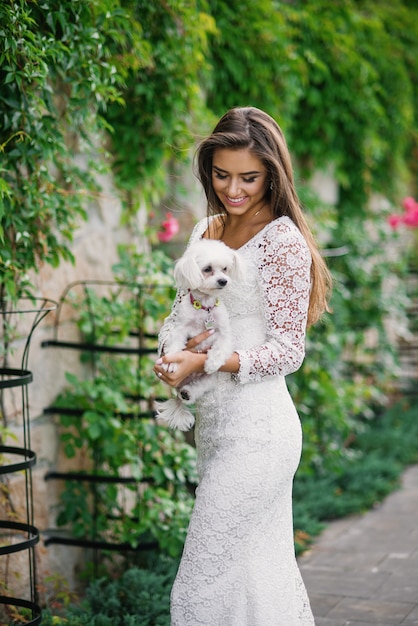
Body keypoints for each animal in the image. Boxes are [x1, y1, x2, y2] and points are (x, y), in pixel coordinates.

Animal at [154, 236, 245, 432]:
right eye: (207, 269)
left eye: (225, 269)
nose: (223, 281)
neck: (205, 307)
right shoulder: (180, 328)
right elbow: (174, 346)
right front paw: (171, 363)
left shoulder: (224, 334)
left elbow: (220, 349)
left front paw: (211, 363)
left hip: (208, 381)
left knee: (198, 387)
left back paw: (188, 393)